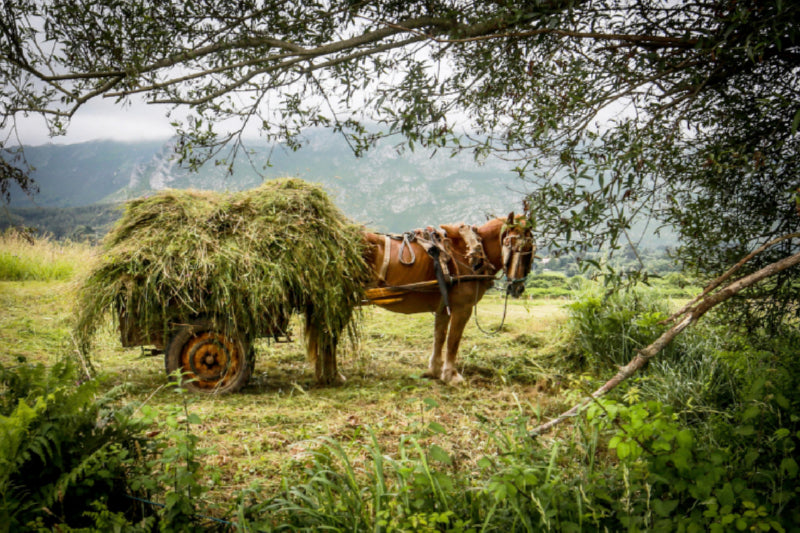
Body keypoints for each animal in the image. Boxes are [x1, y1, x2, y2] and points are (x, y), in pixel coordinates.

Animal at [360, 212, 535, 384]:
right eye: (520, 247)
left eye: (530, 250)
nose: (518, 288)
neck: (468, 253)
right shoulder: (463, 308)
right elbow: (453, 340)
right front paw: (451, 375)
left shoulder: (443, 307)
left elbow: (439, 336)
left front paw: (435, 370)